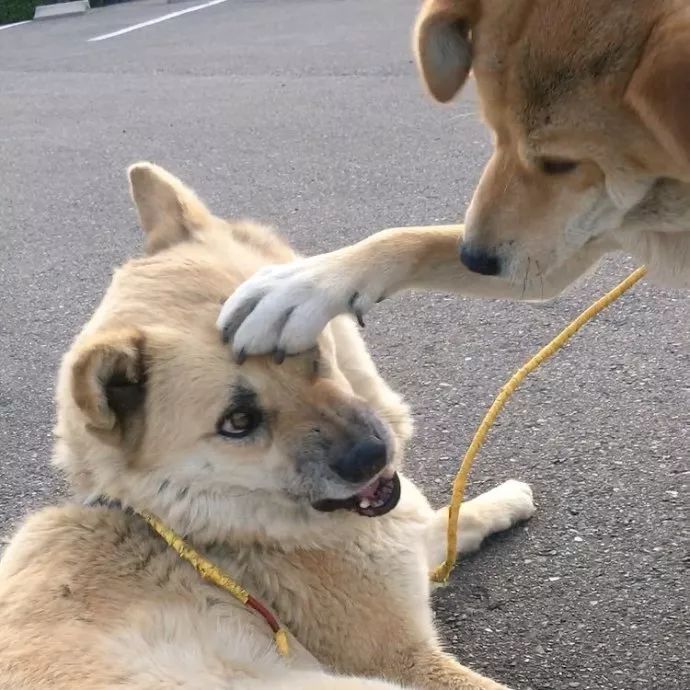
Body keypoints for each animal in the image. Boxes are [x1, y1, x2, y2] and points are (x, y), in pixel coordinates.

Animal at [0, 163, 536, 688]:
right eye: (238, 422)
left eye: (302, 348)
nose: (373, 456)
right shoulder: (401, 661)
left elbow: (450, 521)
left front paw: (504, 500)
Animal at [215, 0, 688, 362]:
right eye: (493, 134)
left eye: (559, 163)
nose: (474, 259)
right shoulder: (555, 254)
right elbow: (406, 239)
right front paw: (303, 283)